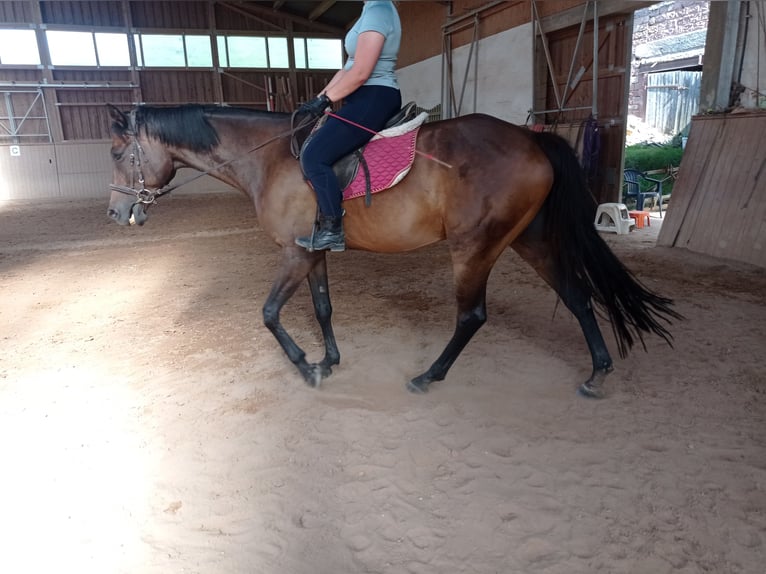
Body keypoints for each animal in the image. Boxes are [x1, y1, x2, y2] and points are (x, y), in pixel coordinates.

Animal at [105, 103, 680, 398]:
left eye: (115, 152)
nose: (114, 213)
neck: (269, 158)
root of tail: (531, 138)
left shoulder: (293, 254)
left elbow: (268, 313)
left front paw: (307, 367)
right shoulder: (312, 253)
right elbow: (322, 307)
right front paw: (330, 359)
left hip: (475, 247)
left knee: (472, 315)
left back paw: (429, 375)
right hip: (530, 240)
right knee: (578, 297)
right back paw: (597, 371)